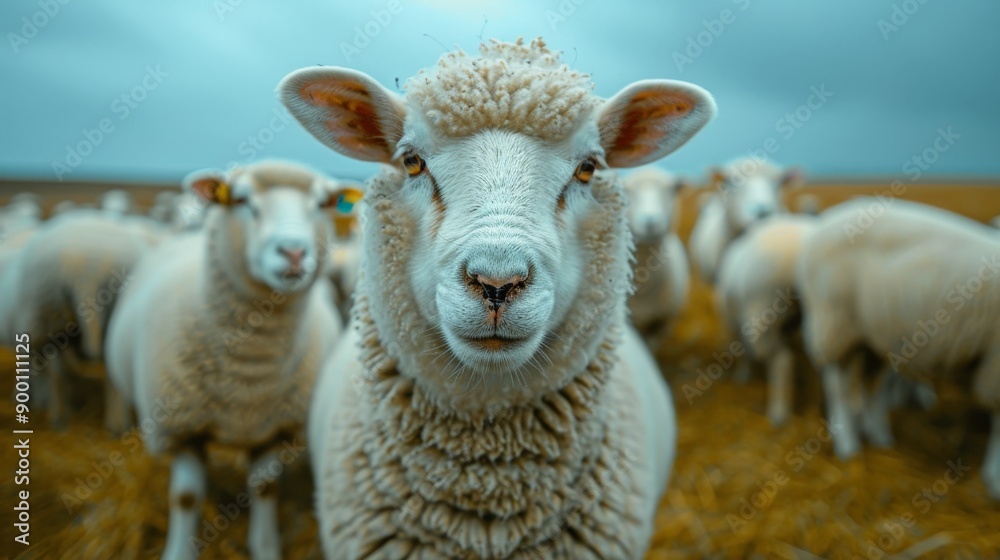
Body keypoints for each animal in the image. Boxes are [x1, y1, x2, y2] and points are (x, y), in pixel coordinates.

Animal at [105, 160, 347, 559]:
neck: (249, 368)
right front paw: (178, 552)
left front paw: (265, 548)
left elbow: (265, 489)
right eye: (243, 200)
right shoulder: (181, 429)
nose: (294, 252)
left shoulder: (273, 427)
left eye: (320, 204)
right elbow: (186, 497)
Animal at [796, 197, 1000, 498]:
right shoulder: (995, 361)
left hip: (871, 333)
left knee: (870, 384)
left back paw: (878, 435)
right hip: (835, 322)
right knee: (839, 386)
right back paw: (848, 445)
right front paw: (995, 479)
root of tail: (823, 223)